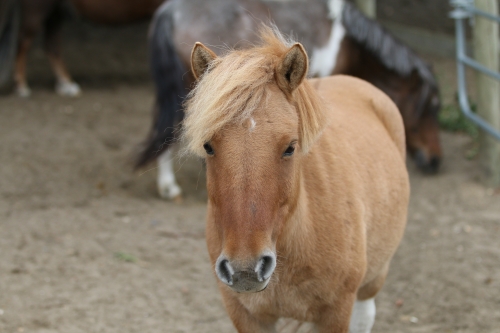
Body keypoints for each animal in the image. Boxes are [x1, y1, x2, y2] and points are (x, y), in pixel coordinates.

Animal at [0, 0, 165, 97]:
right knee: (24, 42)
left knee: (51, 46)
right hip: (38, 9)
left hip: (55, 11)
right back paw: (22, 86)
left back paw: (66, 84)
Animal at [184, 26, 410, 332]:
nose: (245, 269)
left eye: (290, 147)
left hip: (373, 279)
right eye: (208, 146)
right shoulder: (246, 314)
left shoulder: (335, 313)